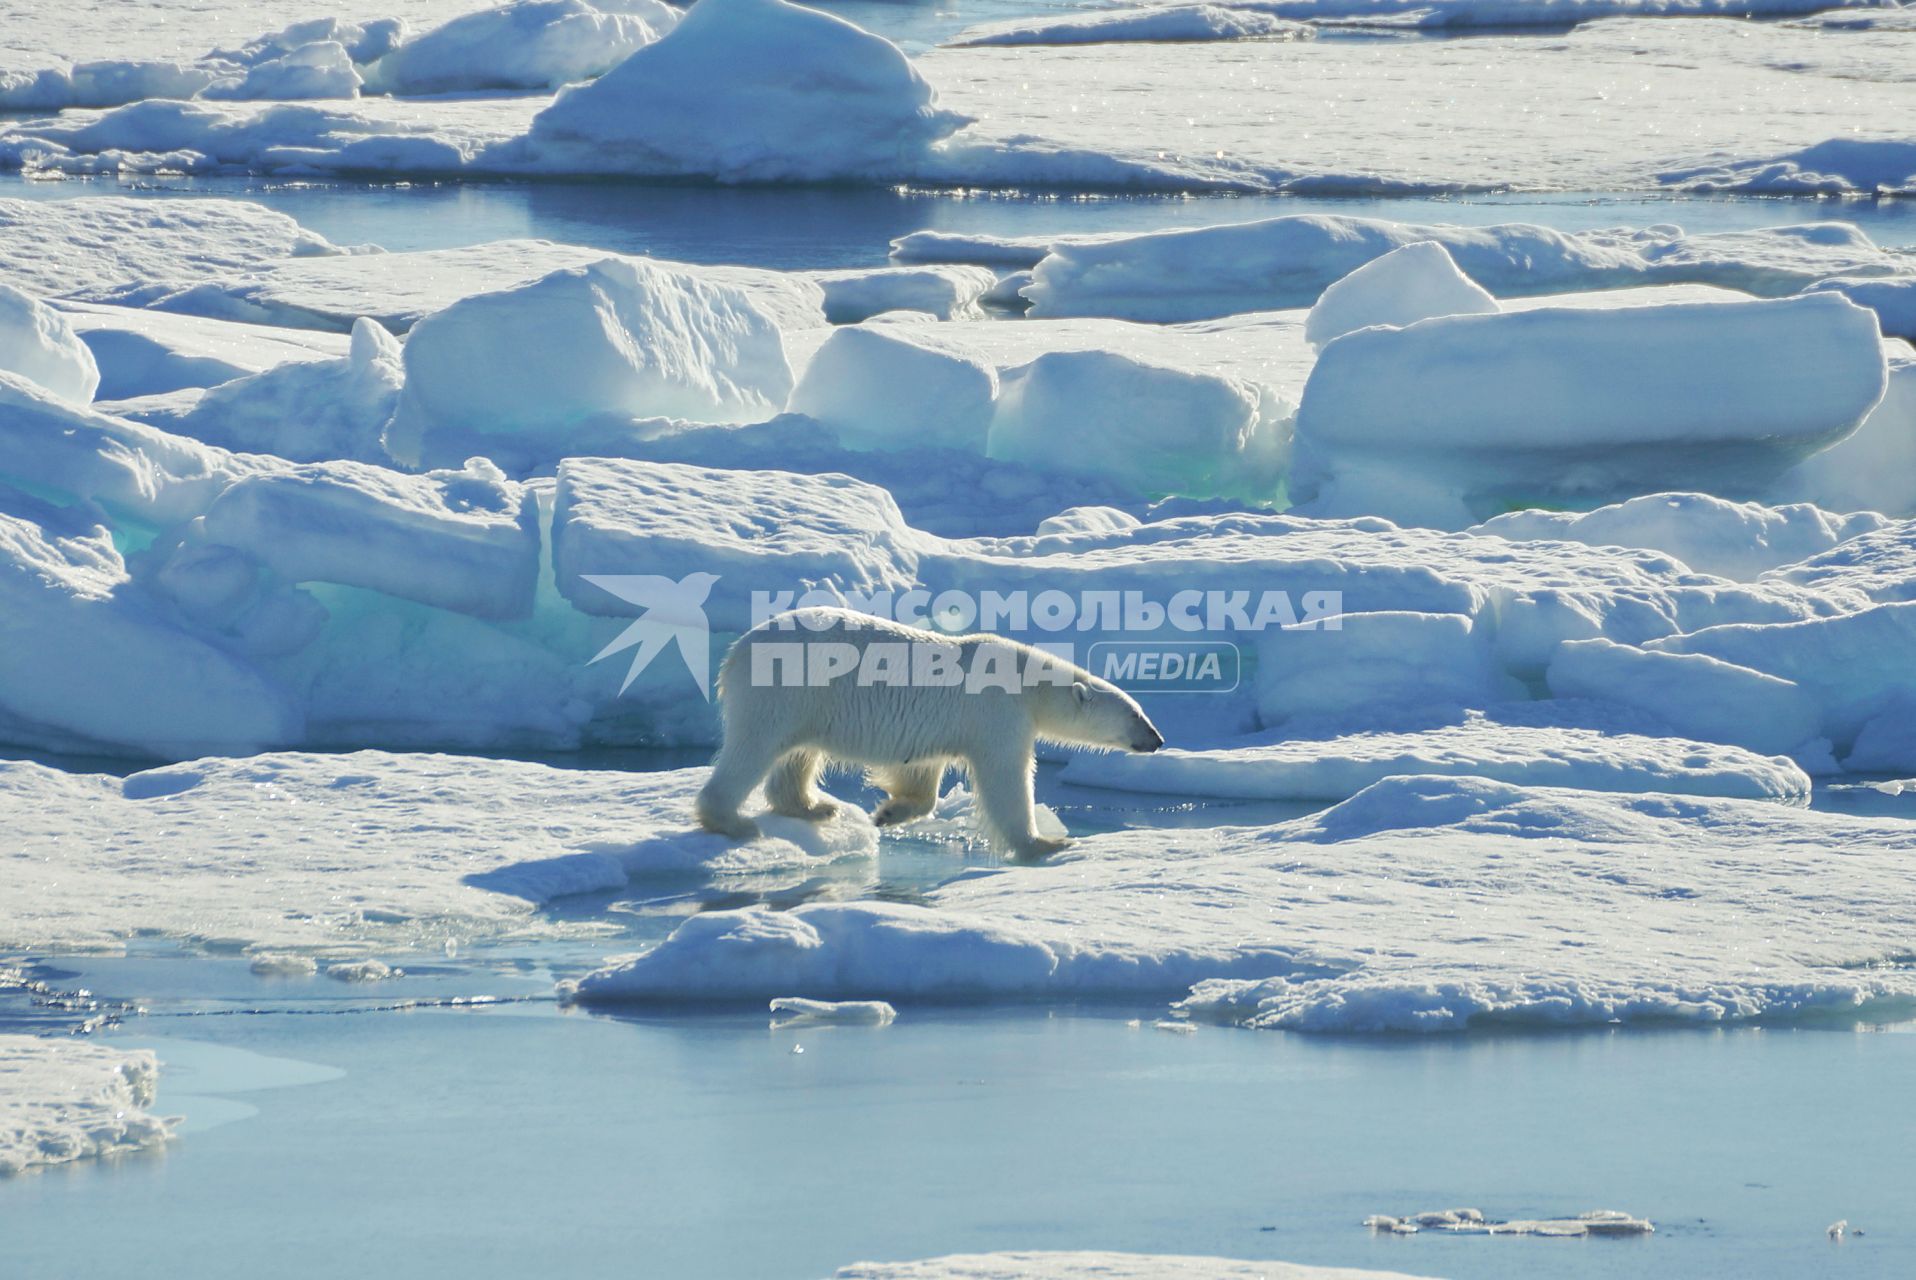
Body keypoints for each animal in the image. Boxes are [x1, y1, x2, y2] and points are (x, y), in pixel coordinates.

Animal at [697, 609, 1157, 858]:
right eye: (1135, 713)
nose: (1158, 739)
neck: (1029, 684)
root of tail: (734, 652)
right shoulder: (996, 712)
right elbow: (1006, 778)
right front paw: (1044, 843)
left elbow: (922, 775)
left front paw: (888, 813)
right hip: (786, 686)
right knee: (754, 747)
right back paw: (735, 822)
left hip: (807, 703)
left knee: (797, 754)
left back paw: (815, 808)